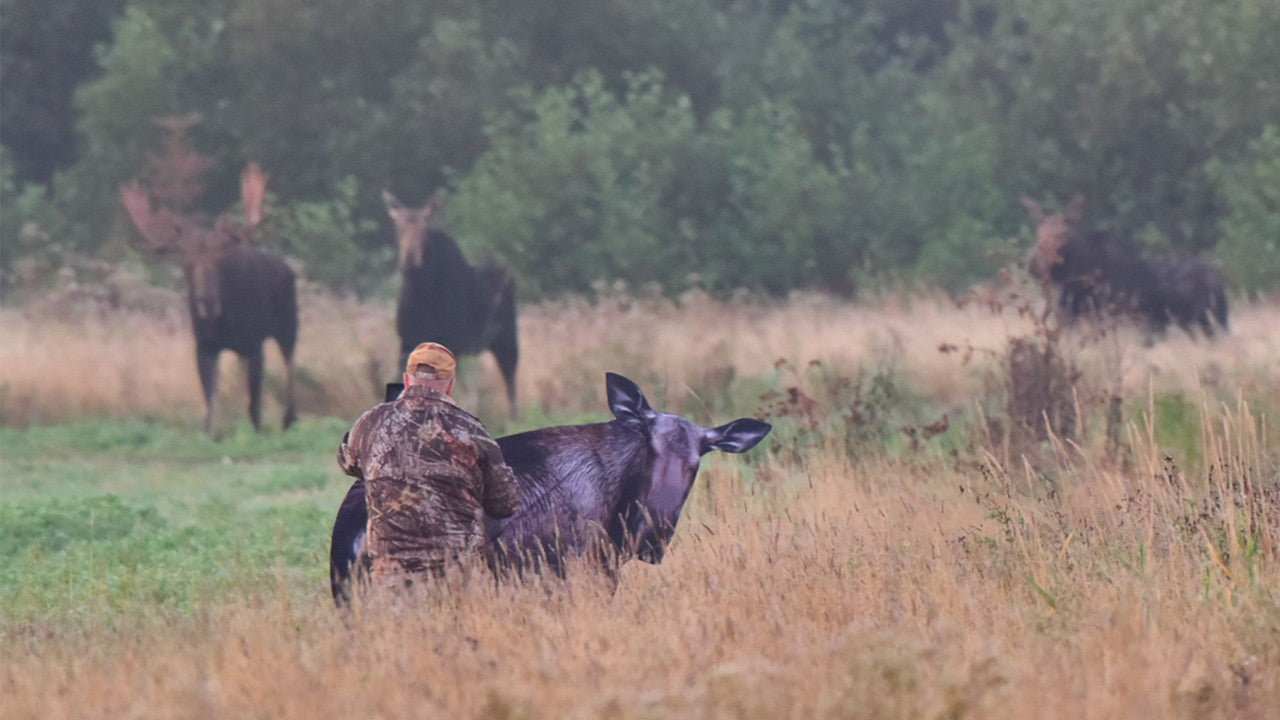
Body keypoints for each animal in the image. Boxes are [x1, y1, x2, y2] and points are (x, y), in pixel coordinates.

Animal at [120, 163, 298, 430]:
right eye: (187, 264)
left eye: (219, 260)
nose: (205, 298)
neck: (222, 321)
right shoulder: (204, 345)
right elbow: (210, 402)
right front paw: (210, 431)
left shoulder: (255, 342)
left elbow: (254, 405)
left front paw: (257, 430)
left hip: (289, 323)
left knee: (290, 364)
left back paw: (289, 418)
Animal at [381, 190, 517, 412]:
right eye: (398, 226)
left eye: (425, 228)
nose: (410, 256)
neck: (419, 296)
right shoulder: (406, 340)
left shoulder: (454, 342)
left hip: (506, 340)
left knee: (511, 382)